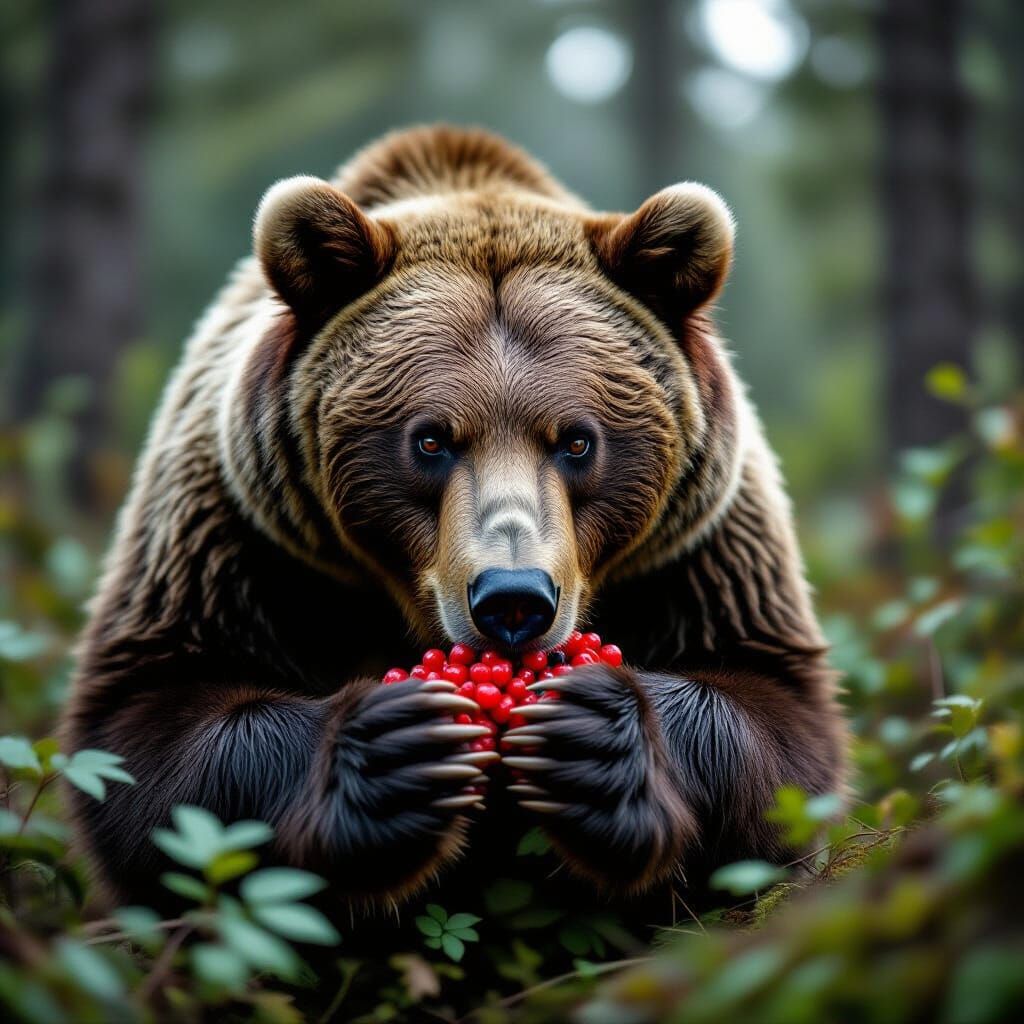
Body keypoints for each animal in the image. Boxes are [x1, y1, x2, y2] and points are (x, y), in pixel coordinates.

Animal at [63, 125, 847, 920]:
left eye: (577, 440)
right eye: (431, 439)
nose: (513, 598)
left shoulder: (700, 545)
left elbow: (777, 721)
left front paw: (593, 738)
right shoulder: (236, 532)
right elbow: (149, 729)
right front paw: (395, 752)